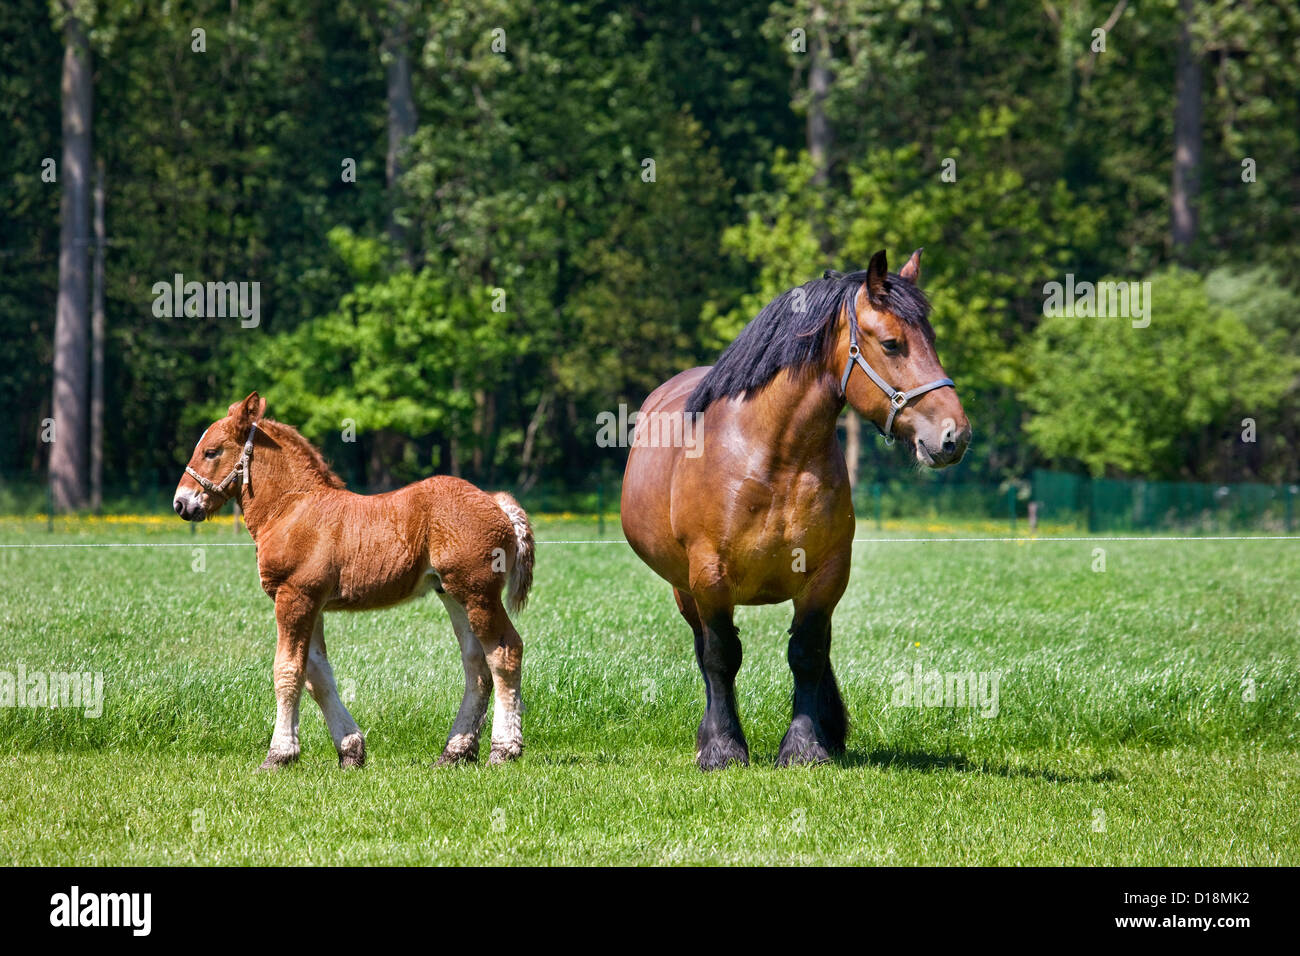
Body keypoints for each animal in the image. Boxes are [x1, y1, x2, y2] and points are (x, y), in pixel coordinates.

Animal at [172, 392, 533, 775]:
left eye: (212, 451)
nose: (181, 503)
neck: (292, 509)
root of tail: (497, 503)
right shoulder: (312, 604)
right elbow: (317, 675)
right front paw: (350, 750)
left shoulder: (295, 597)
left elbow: (287, 671)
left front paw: (278, 755)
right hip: (452, 594)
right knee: (476, 664)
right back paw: (455, 751)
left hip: (479, 592)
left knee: (505, 652)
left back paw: (504, 749)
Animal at [624, 248, 972, 770]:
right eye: (892, 344)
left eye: (931, 340)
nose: (955, 436)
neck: (773, 456)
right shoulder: (709, 576)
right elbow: (721, 656)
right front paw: (723, 749)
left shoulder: (826, 575)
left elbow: (807, 653)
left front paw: (807, 746)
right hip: (682, 587)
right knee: (703, 649)